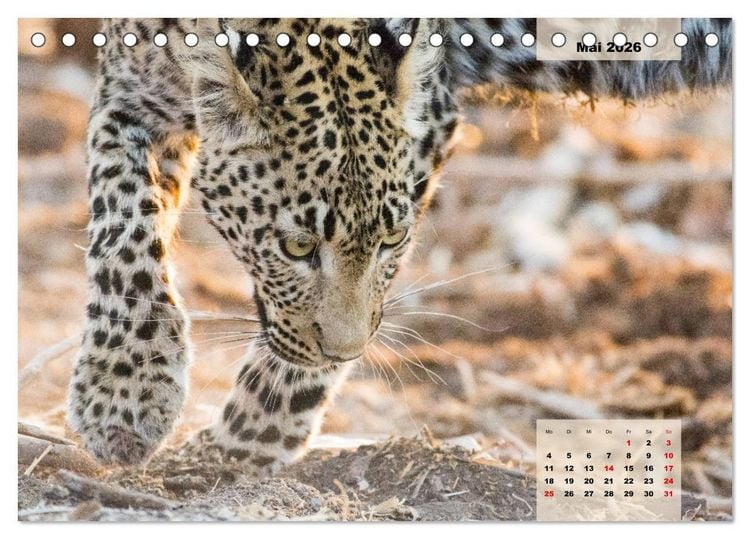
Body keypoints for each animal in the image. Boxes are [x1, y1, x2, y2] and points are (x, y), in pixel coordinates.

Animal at [67, 17, 731, 471]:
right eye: (297, 247)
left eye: (391, 239)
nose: (342, 353)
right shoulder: (130, 89)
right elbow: (122, 225)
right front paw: (124, 395)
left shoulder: (433, 111)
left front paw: (251, 436)